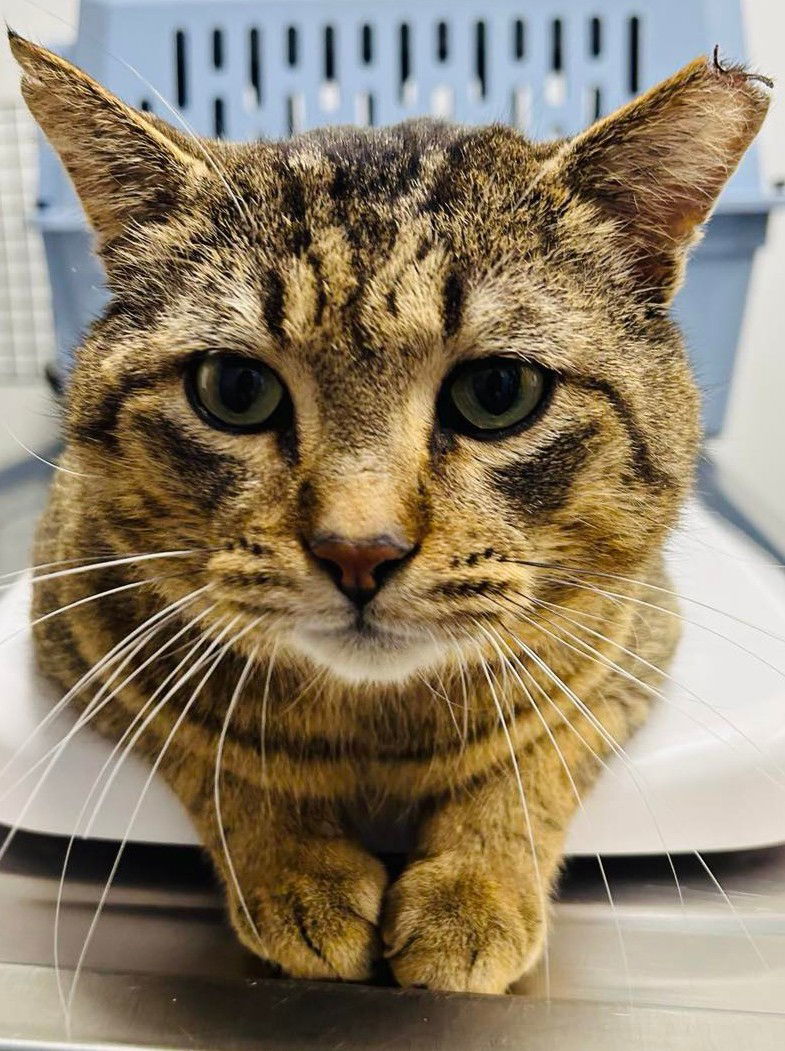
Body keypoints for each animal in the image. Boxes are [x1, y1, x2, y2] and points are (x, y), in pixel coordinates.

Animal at [9, 28, 769, 987]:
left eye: (497, 391)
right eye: (234, 388)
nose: (358, 550)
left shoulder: (632, 635)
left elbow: (535, 749)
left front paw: (471, 893)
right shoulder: (79, 621)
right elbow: (214, 744)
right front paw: (299, 871)